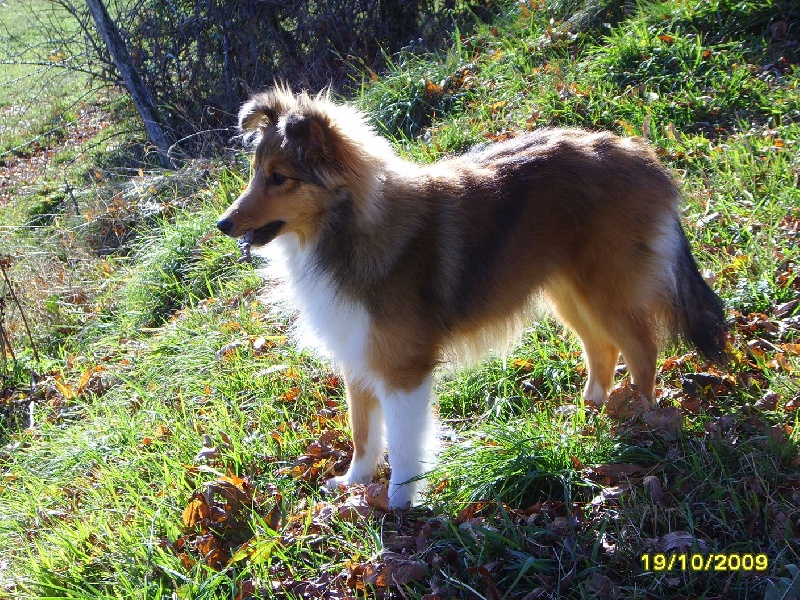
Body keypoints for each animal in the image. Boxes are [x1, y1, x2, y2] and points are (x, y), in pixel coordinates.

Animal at [216, 88, 728, 510]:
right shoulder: (358, 356)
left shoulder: (403, 370)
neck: (346, 230)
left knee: (642, 350)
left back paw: (642, 421)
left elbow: (403, 443)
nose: (223, 224)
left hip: (607, 290)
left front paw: (399, 504)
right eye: (257, 173)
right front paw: (354, 483)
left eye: (280, 177)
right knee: (602, 348)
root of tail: (641, 155)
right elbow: (363, 432)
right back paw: (588, 414)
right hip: (568, 293)